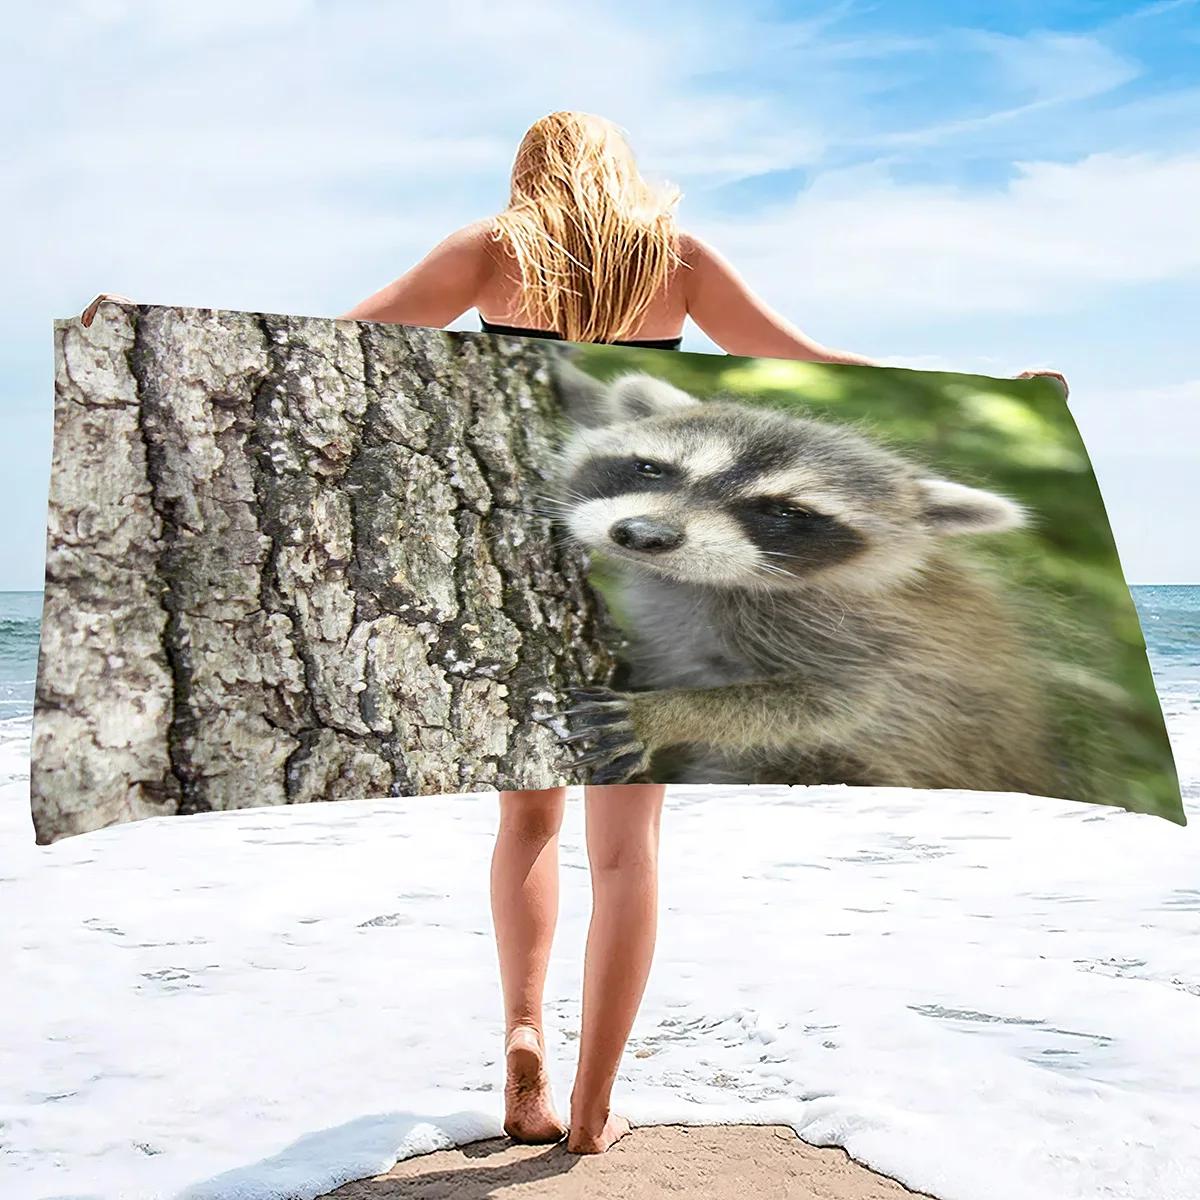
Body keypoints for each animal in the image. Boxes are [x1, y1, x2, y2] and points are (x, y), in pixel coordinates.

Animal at [546, 363, 1068, 799]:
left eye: (786, 512)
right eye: (650, 468)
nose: (643, 535)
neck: (692, 581)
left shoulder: (856, 635)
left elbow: (835, 702)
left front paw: (670, 713)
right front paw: (568, 372)